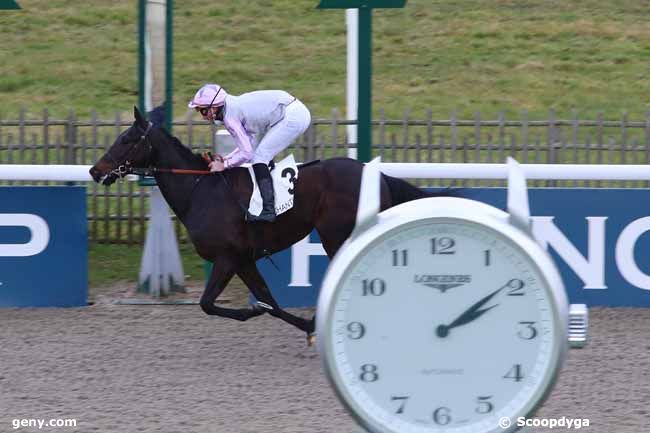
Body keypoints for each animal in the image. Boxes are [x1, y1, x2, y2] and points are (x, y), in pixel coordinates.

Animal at [91, 106, 440, 340]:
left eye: (127, 139)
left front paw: (252, 311)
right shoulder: (244, 260)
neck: (199, 189)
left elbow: (208, 303)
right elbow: (269, 300)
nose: (95, 171)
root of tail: (375, 174)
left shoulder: (227, 258)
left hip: (336, 235)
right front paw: (306, 324)